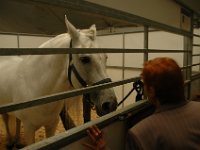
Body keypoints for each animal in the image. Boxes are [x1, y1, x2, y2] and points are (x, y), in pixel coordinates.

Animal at [0, 15, 117, 148]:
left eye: (105, 57)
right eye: (84, 59)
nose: (110, 103)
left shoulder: (52, 125)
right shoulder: (29, 129)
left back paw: (17, 141)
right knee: (5, 119)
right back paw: (10, 141)